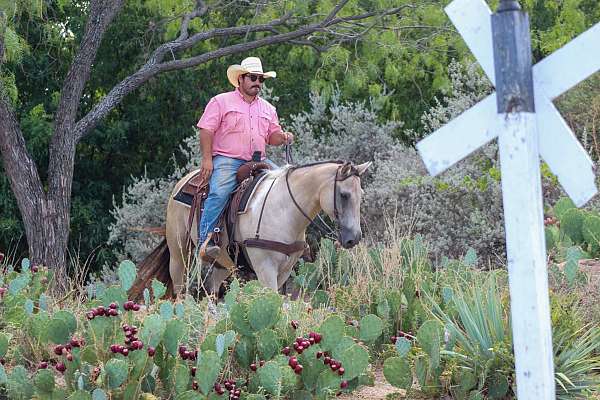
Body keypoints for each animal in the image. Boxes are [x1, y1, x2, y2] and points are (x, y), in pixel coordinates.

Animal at [129, 160, 368, 300]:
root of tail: (183, 183)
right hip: (180, 254)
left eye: (361, 194)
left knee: (212, 290)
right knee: (180, 291)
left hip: (223, 262)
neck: (284, 210)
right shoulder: (265, 268)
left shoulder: (284, 271)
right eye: (344, 195)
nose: (353, 238)